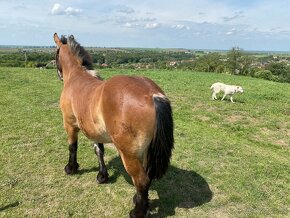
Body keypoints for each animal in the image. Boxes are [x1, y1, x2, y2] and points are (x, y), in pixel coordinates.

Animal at [53, 33, 173, 217]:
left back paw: (137, 212)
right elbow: (99, 151)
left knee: (142, 180)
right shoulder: (95, 131)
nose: (58, 74)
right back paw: (139, 201)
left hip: (129, 153)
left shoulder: (70, 124)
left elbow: (72, 147)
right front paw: (102, 176)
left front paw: (71, 168)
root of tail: (153, 94)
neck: (76, 77)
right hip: (144, 152)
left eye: (55, 53)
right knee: (147, 177)